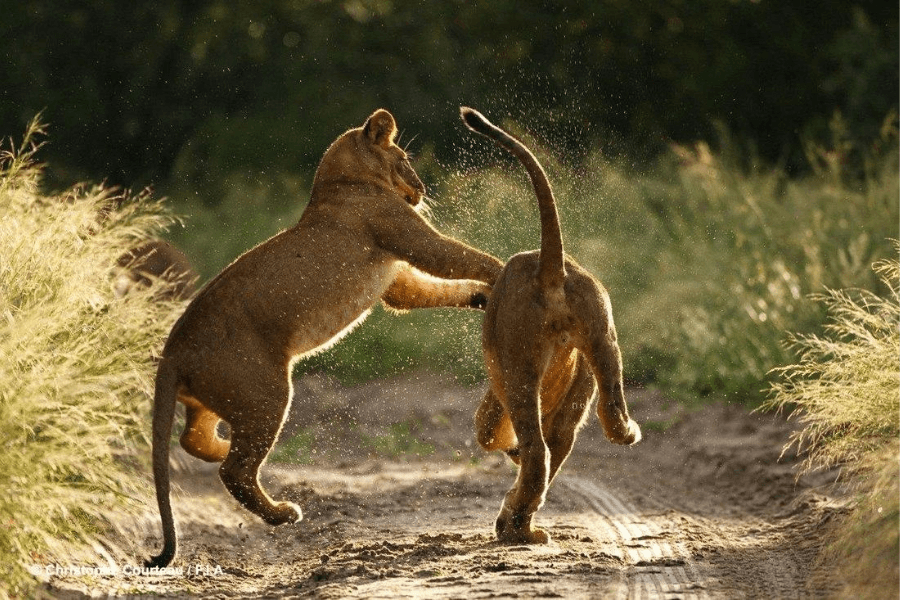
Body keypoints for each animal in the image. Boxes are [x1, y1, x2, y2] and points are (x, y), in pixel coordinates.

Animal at [146, 109, 504, 568]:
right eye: (405, 159)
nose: (423, 190)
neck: (339, 180)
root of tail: (173, 349)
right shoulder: (410, 238)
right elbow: (461, 256)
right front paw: (510, 272)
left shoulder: (396, 282)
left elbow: (432, 289)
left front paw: (484, 295)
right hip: (266, 392)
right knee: (236, 471)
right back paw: (281, 511)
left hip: (217, 397)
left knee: (192, 440)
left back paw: (221, 449)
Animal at [461, 107, 641, 544]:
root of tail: (550, 266)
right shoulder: (572, 405)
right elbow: (556, 445)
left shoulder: (498, 389)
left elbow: (489, 432)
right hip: (603, 341)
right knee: (606, 416)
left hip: (518, 368)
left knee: (536, 451)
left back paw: (516, 529)